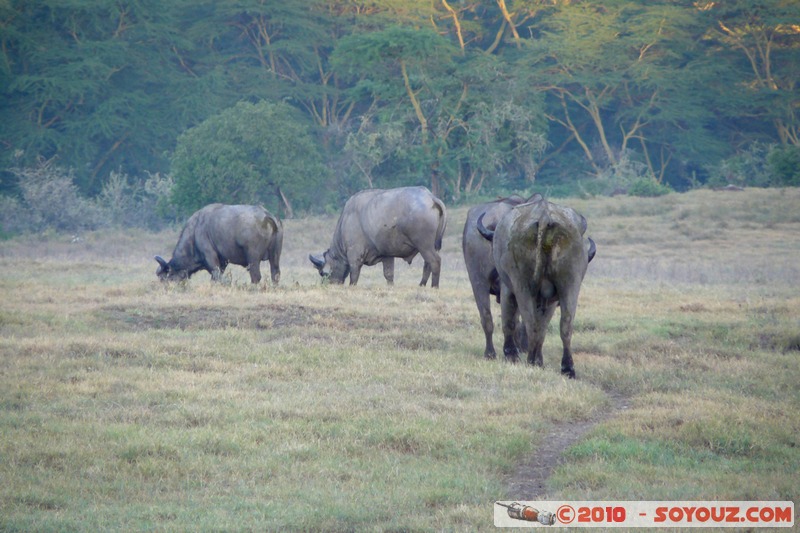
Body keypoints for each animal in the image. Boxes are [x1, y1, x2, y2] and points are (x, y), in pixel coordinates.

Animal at [310, 187, 446, 286]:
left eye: (323, 273)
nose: (326, 285)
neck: (346, 221)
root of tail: (431, 198)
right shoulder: (387, 256)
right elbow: (388, 274)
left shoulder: (354, 255)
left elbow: (354, 275)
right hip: (431, 246)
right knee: (427, 264)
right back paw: (422, 285)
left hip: (424, 246)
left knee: (435, 261)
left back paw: (434, 286)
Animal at [476, 196, 592, 378]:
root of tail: (545, 217)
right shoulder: (552, 300)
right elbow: (543, 328)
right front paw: (539, 359)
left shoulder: (508, 289)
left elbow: (509, 321)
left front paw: (511, 354)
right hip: (570, 283)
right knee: (565, 325)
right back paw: (567, 367)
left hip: (523, 286)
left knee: (530, 323)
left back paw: (531, 360)